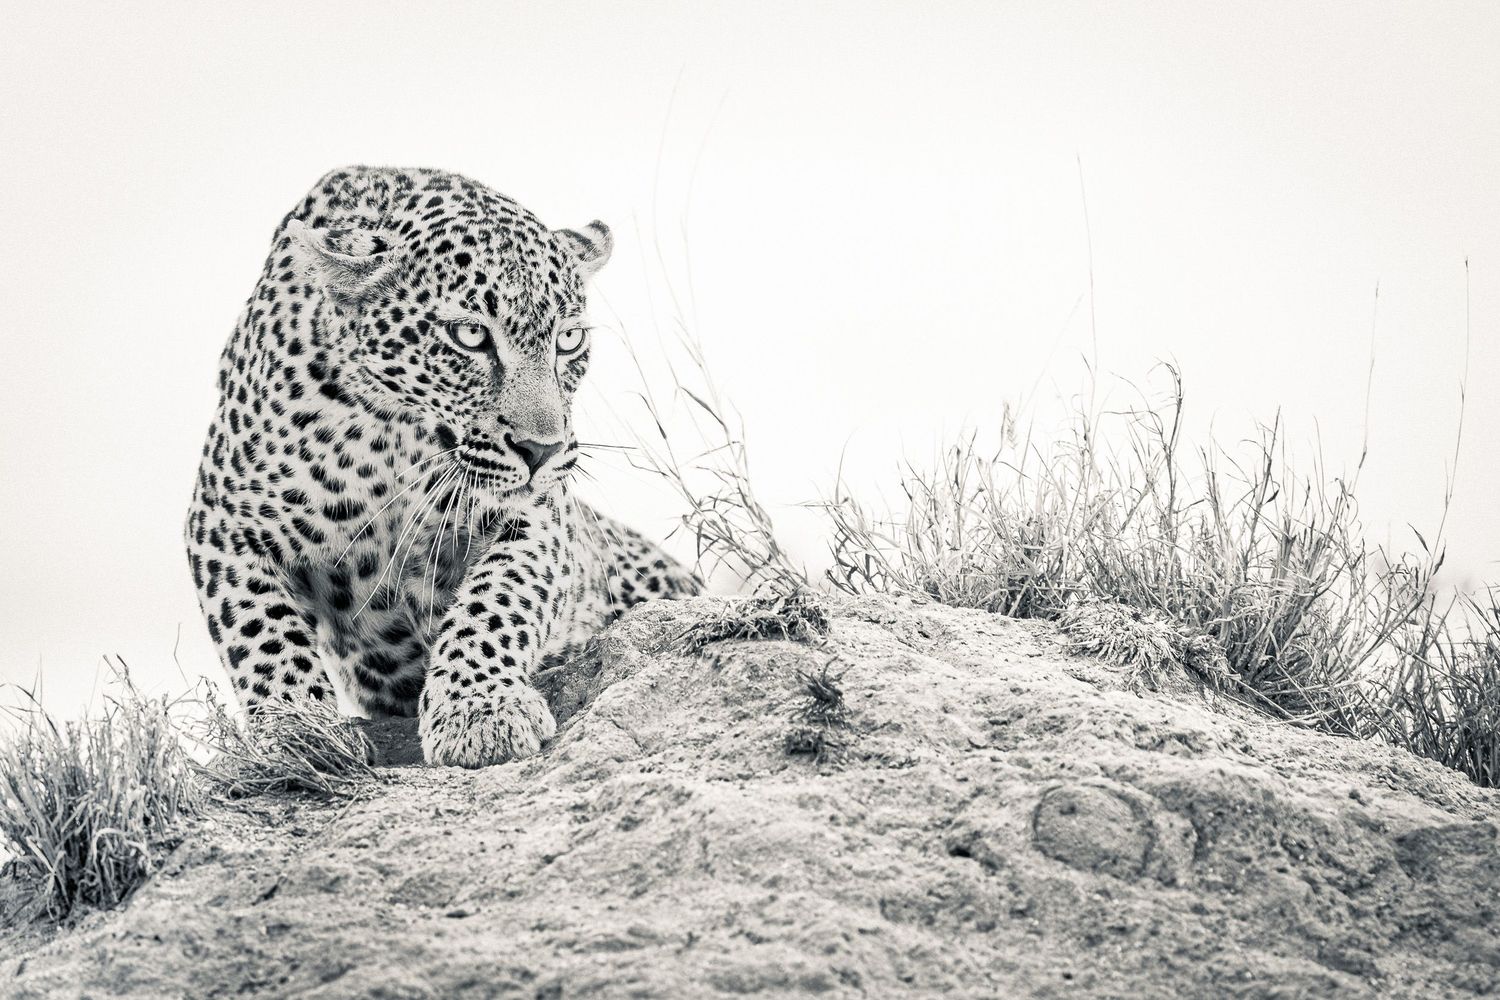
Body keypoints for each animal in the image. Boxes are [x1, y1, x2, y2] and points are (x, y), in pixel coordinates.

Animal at [184, 166, 700, 768]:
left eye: (568, 340)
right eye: (470, 335)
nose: (542, 450)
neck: (390, 436)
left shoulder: (541, 515)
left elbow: (498, 596)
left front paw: (478, 709)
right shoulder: (222, 522)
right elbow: (263, 633)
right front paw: (297, 735)